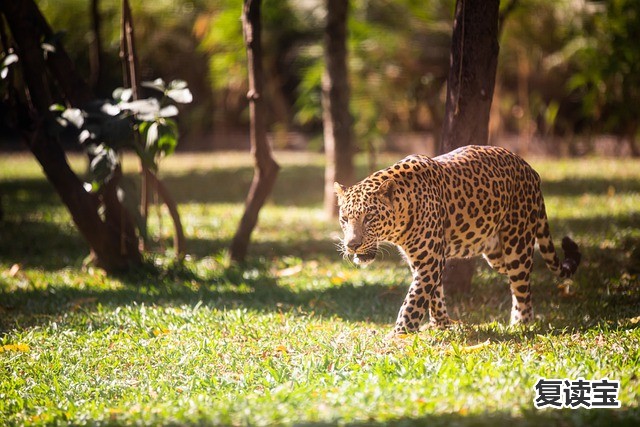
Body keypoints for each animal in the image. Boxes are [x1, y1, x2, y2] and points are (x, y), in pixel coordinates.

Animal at [336, 145, 580, 336]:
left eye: (369, 218)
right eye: (344, 219)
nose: (352, 245)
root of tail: (531, 169)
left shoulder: (429, 262)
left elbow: (413, 300)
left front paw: (399, 335)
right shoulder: (423, 261)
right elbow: (433, 294)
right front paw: (440, 324)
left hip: (516, 246)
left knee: (522, 285)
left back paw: (520, 324)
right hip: (496, 255)